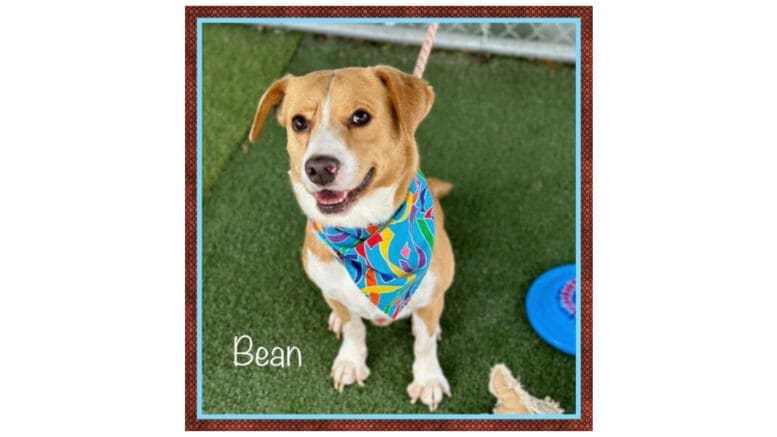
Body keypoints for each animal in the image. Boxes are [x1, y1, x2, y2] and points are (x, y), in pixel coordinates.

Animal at [249, 64, 454, 408]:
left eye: (360, 117)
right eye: (299, 122)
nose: (319, 168)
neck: (362, 233)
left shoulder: (429, 295)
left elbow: (425, 344)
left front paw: (427, 379)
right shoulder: (336, 293)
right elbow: (353, 327)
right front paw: (351, 361)